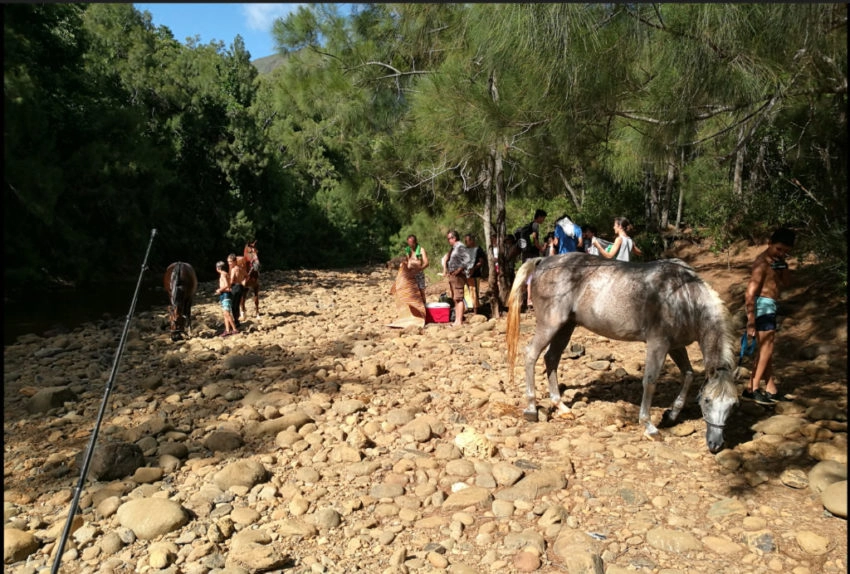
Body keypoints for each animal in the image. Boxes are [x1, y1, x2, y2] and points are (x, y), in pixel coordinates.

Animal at [506, 255, 740, 454]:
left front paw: (671, 415)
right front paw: (649, 426)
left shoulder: (676, 345)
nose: (715, 445)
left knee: (551, 358)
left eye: (733, 405)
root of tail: (543, 261)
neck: (684, 296)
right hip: (550, 325)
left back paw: (561, 407)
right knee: (531, 354)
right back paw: (531, 409)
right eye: (707, 401)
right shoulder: (658, 344)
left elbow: (689, 374)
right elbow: (650, 381)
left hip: (566, 327)